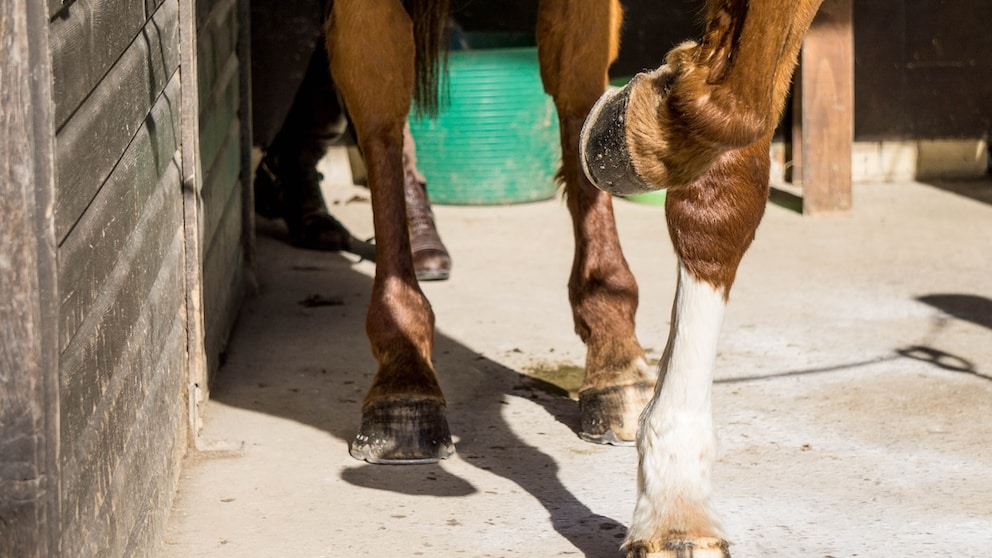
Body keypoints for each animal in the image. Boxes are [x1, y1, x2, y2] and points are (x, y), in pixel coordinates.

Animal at [324, 1, 822, 555]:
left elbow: (730, 150)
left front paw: (676, 503)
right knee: (380, 93)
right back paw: (405, 376)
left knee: (575, 81)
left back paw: (615, 352)